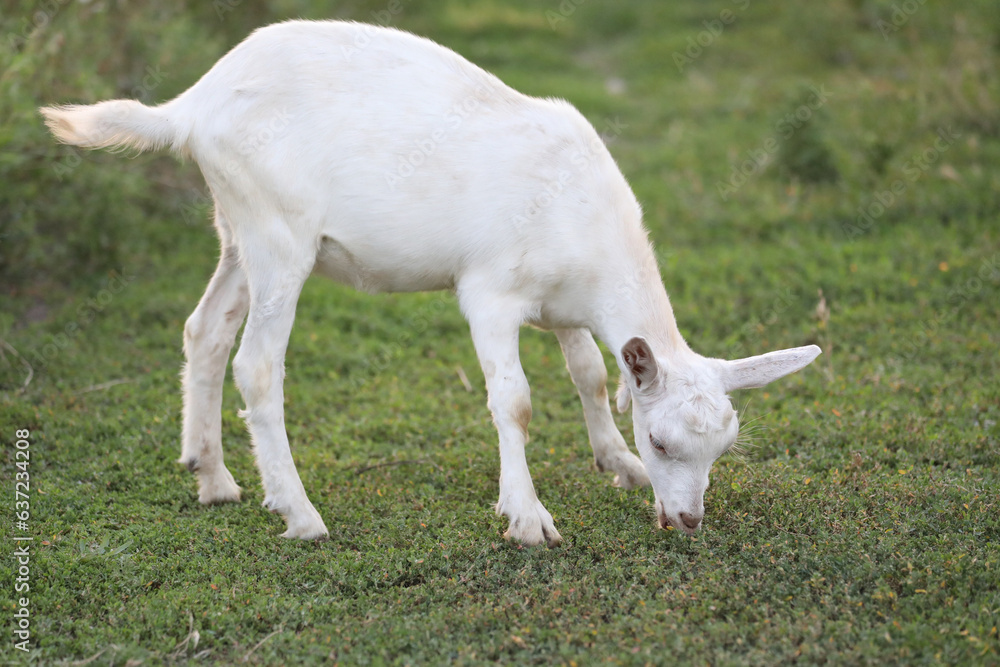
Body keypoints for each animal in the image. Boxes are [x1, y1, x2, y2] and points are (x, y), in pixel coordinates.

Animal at [41, 20, 821, 545]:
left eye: (719, 451)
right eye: (663, 442)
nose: (687, 520)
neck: (587, 227)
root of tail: (191, 106)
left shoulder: (564, 304)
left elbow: (592, 375)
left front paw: (614, 463)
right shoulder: (490, 293)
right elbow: (517, 402)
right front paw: (527, 516)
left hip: (235, 229)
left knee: (204, 330)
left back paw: (214, 478)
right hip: (278, 233)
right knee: (257, 364)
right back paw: (299, 512)